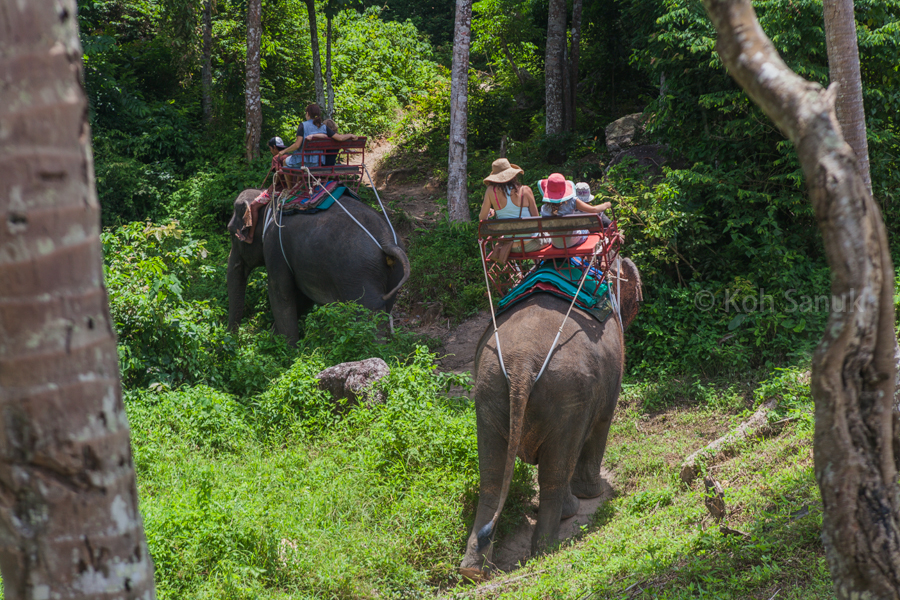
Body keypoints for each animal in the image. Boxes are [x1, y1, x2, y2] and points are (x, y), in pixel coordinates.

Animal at [227, 185, 410, 344]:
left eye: (231, 232)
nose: (233, 337)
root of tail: (387, 241)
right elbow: (301, 297)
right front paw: (275, 339)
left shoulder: (274, 246)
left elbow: (281, 293)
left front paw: (288, 350)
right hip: (394, 273)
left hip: (359, 275)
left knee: (369, 315)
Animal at [460, 258, 644, 580]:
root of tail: (522, 363)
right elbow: (603, 422)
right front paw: (593, 494)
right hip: (566, 394)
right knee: (556, 471)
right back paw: (549, 546)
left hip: (488, 394)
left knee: (492, 478)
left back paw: (473, 570)